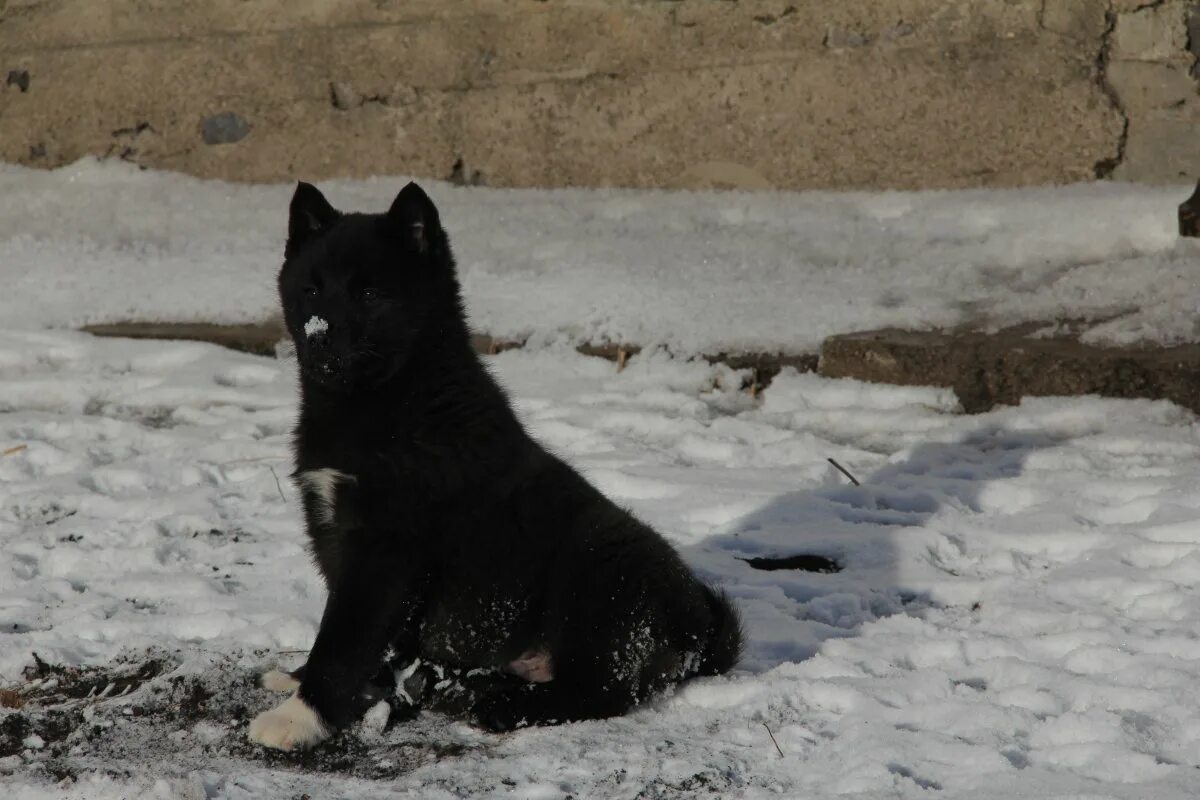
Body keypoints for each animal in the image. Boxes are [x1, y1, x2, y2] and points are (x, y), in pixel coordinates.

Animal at [247, 181, 739, 753]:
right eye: (310, 290)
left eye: (369, 295)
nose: (318, 336)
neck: (394, 398)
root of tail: (699, 628)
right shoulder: (334, 530)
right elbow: (355, 634)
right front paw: (303, 681)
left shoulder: (385, 549)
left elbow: (344, 638)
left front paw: (299, 716)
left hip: (603, 578)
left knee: (602, 689)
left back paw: (502, 706)